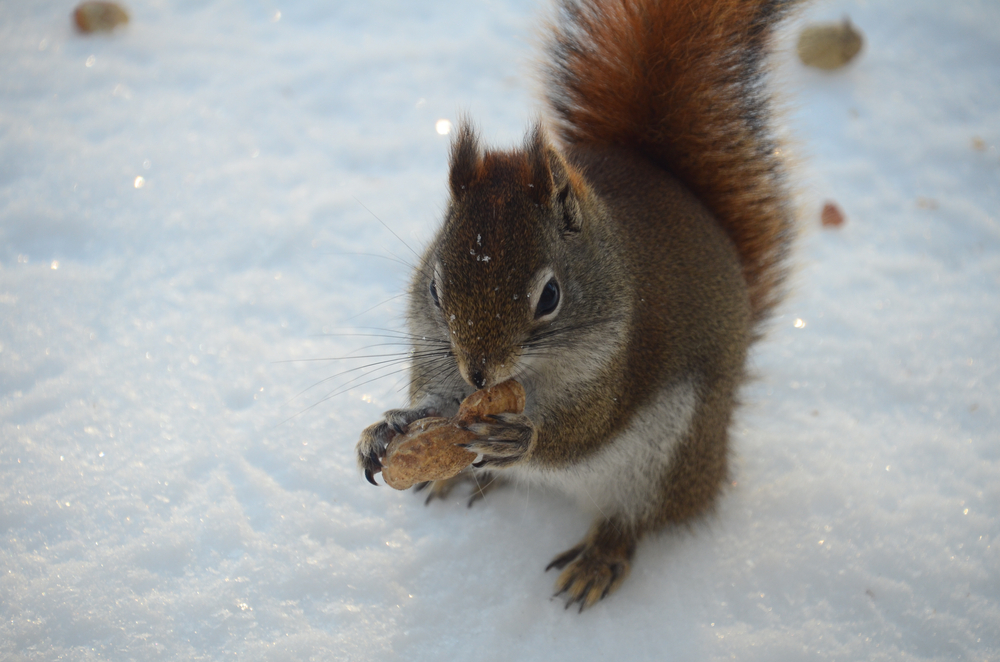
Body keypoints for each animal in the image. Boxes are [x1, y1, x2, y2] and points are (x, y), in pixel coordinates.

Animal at [356, 0, 792, 612]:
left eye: (550, 296)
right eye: (435, 289)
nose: (478, 373)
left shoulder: (621, 365)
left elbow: (586, 428)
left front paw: (522, 439)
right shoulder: (435, 351)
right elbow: (436, 401)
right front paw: (390, 427)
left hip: (667, 458)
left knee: (634, 520)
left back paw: (596, 559)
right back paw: (462, 473)